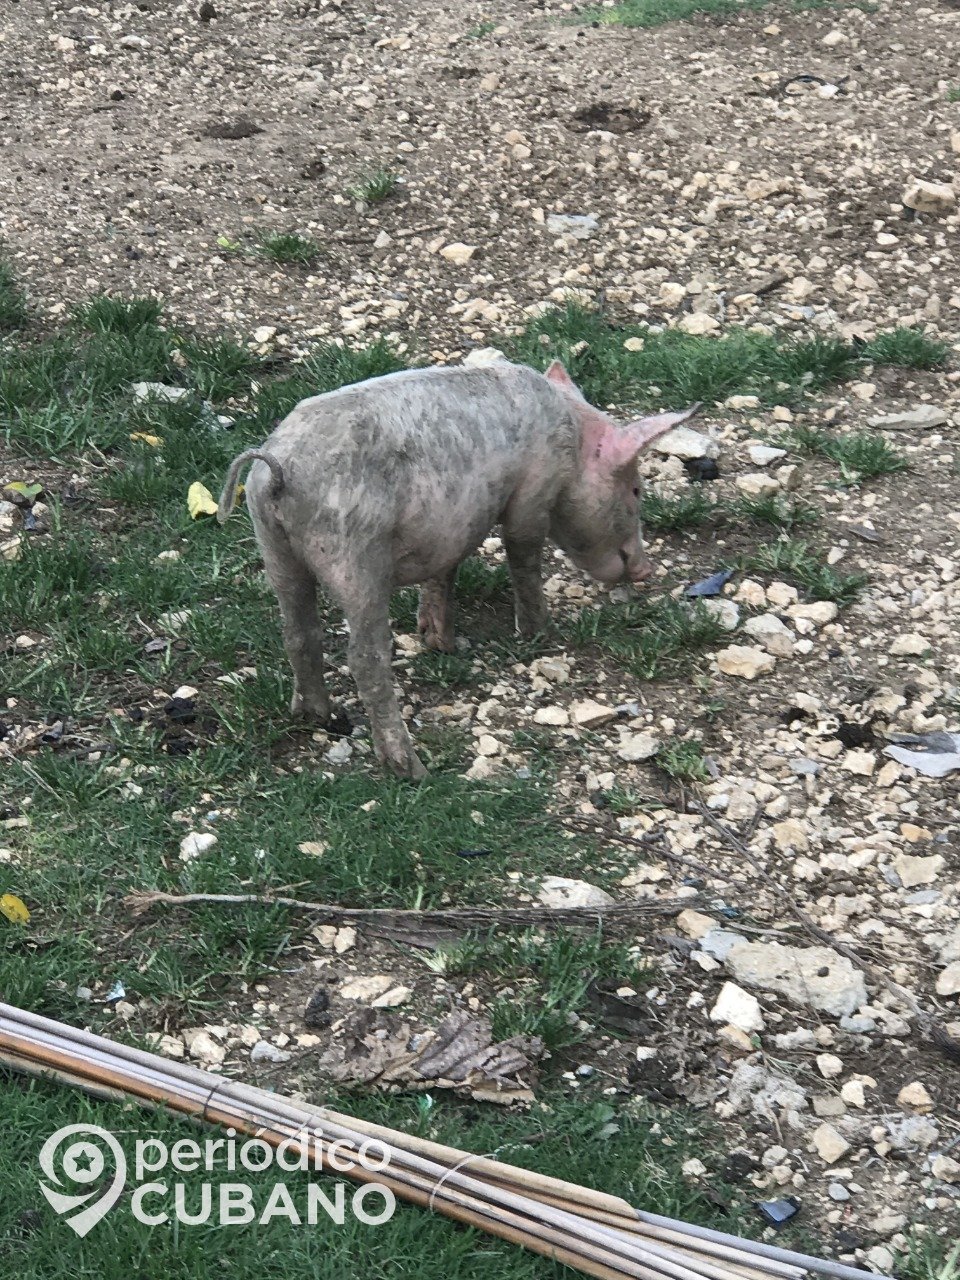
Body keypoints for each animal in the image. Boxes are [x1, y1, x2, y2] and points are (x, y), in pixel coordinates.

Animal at [217, 358, 701, 778]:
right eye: (636, 490)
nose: (647, 570)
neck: (573, 435)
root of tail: (280, 470)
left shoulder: (448, 528)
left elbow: (443, 573)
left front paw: (440, 642)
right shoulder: (533, 494)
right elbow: (523, 554)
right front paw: (541, 634)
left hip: (274, 546)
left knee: (298, 633)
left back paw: (318, 717)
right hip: (354, 552)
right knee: (364, 657)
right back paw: (410, 770)